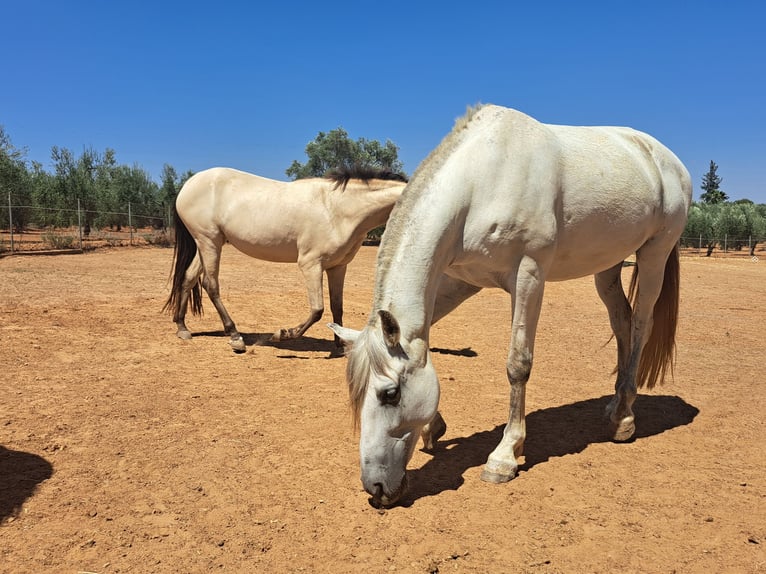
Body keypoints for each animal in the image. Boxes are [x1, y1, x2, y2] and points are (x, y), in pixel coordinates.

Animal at [166, 164, 412, 354]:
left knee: (188, 278)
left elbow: (337, 307)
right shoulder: (311, 265)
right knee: (211, 285)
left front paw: (340, 345)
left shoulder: (338, 266)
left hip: (206, 245)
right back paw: (235, 337)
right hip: (210, 243)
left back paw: (182, 328)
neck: (336, 208)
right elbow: (317, 309)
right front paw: (283, 334)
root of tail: (188, 185)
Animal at [332, 106, 696, 510]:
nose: (376, 489)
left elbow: (518, 364)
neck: (481, 182)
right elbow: (424, 343)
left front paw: (505, 456)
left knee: (641, 325)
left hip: (654, 255)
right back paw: (615, 407)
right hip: (608, 267)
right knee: (622, 324)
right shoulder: (461, 281)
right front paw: (434, 428)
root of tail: (665, 158)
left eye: (390, 394)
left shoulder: (529, 276)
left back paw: (626, 419)